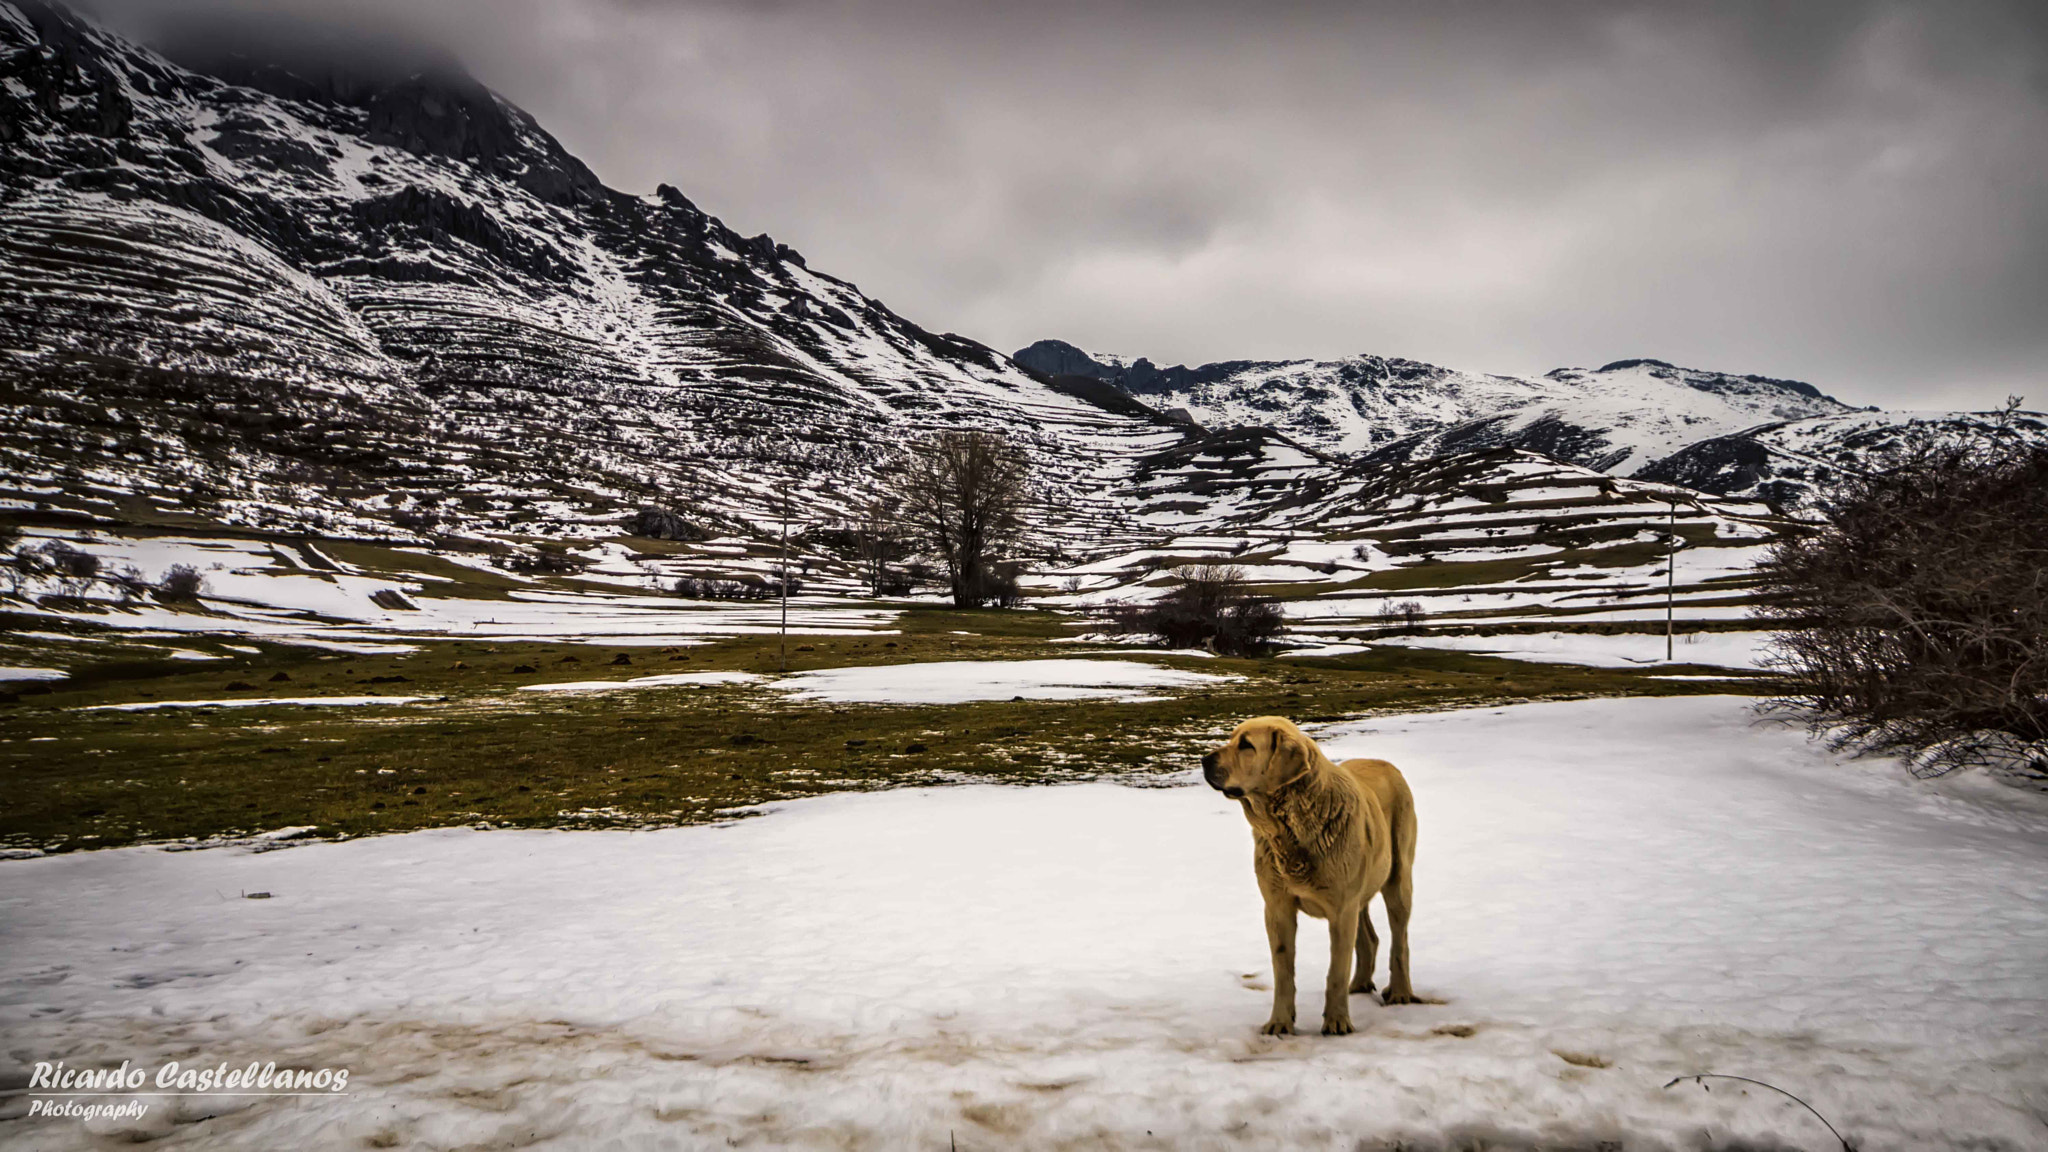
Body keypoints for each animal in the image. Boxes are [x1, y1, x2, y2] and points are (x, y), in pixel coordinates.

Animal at [1204, 713, 1417, 1024]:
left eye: (1246, 745)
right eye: (1232, 738)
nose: (1204, 760)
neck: (1290, 829)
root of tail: (1385, 763)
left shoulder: (1341, 910)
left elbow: (1336, 971)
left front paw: (1337, 1021)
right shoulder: (1277, 908)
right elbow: (1283, 972)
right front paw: (1279, 1022)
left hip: (1398, 879)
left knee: (1399, 941)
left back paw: (1400, 992)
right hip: (1360, 894)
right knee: (1369, 939)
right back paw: (1359, 984)